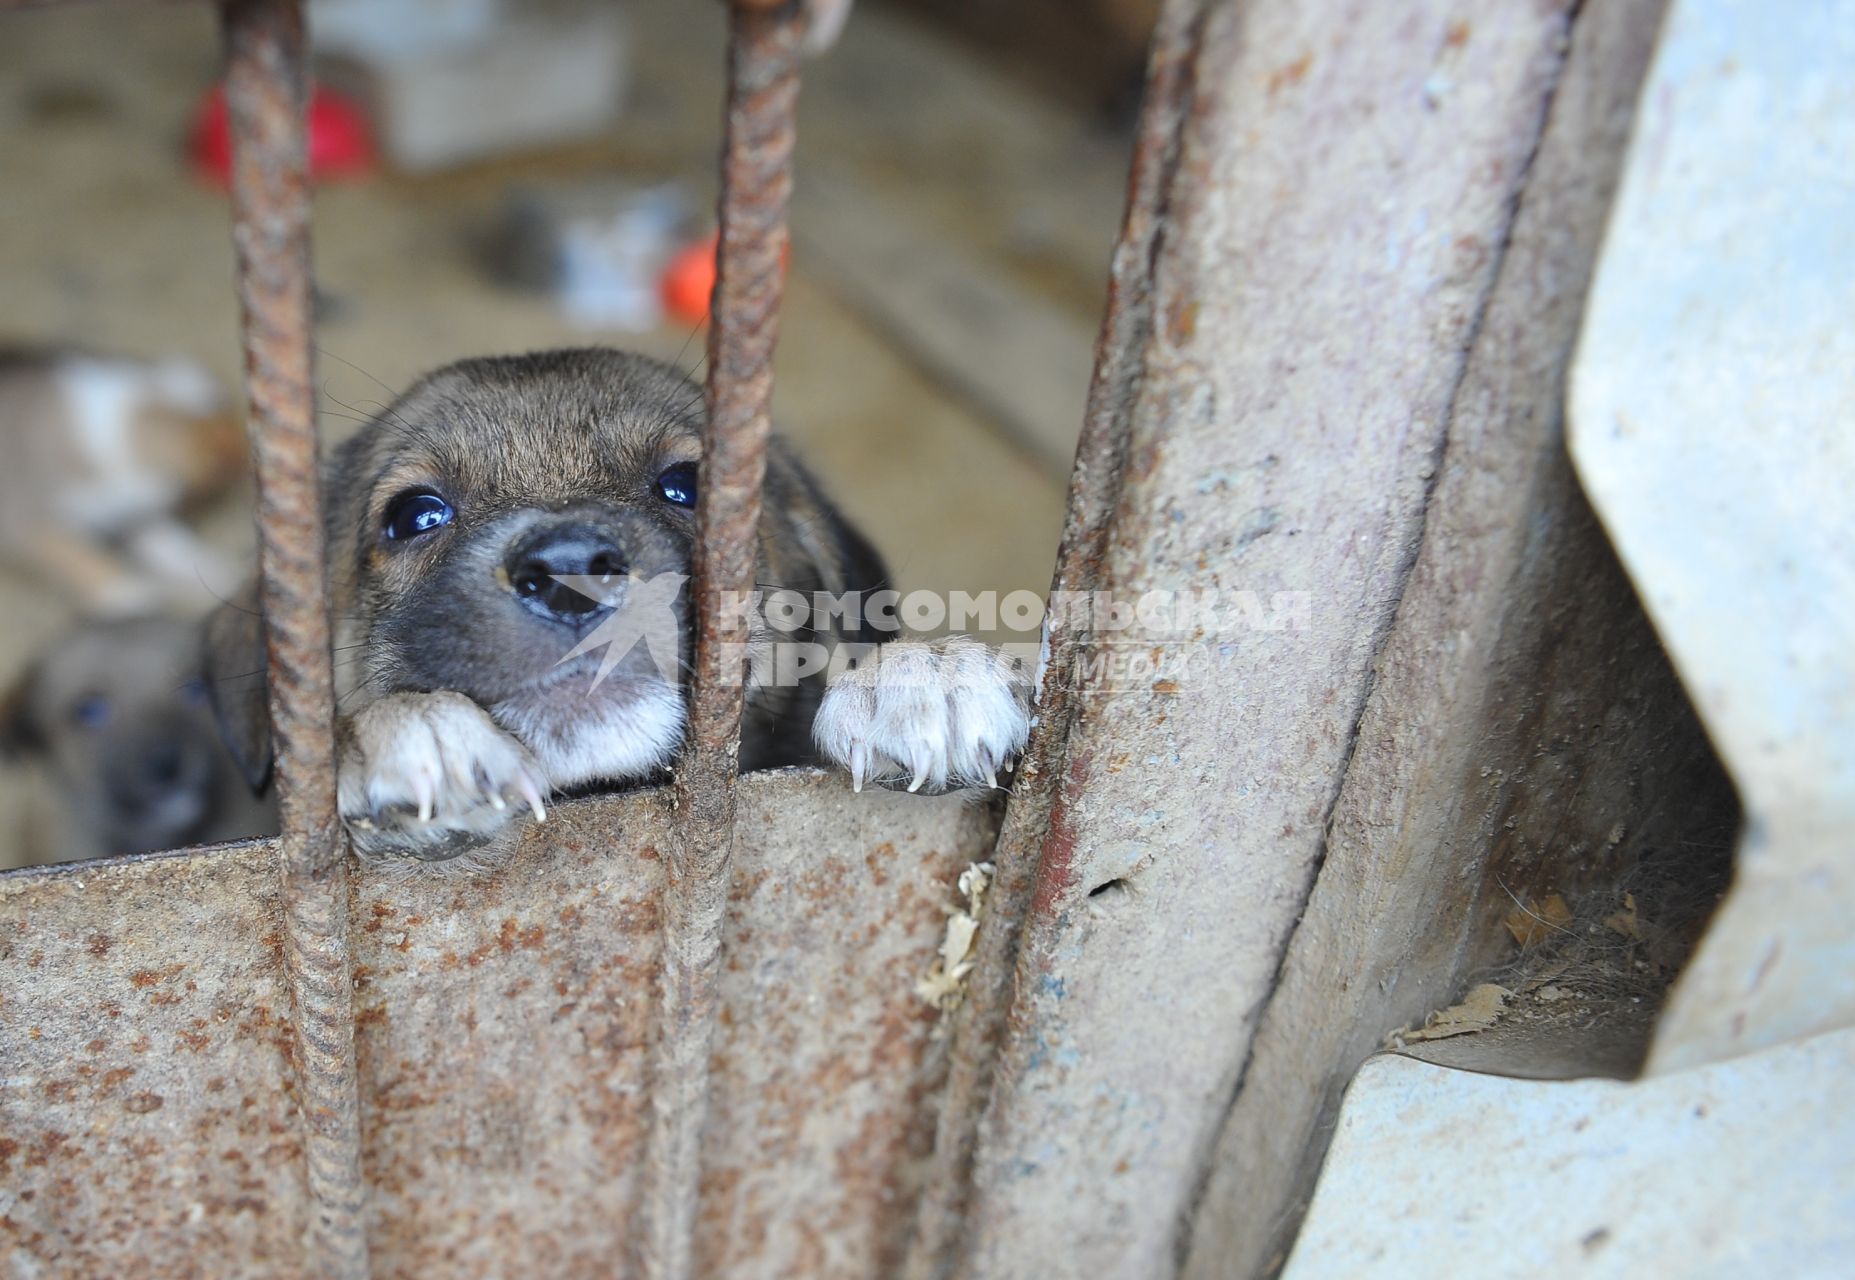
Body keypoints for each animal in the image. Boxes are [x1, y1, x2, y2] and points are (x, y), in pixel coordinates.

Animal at [0, 343, 246, 612]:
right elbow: (76, 555)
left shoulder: (130, 511)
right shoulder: (24, 520)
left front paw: (215, 572)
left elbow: (168, 542)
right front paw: (128, 596)